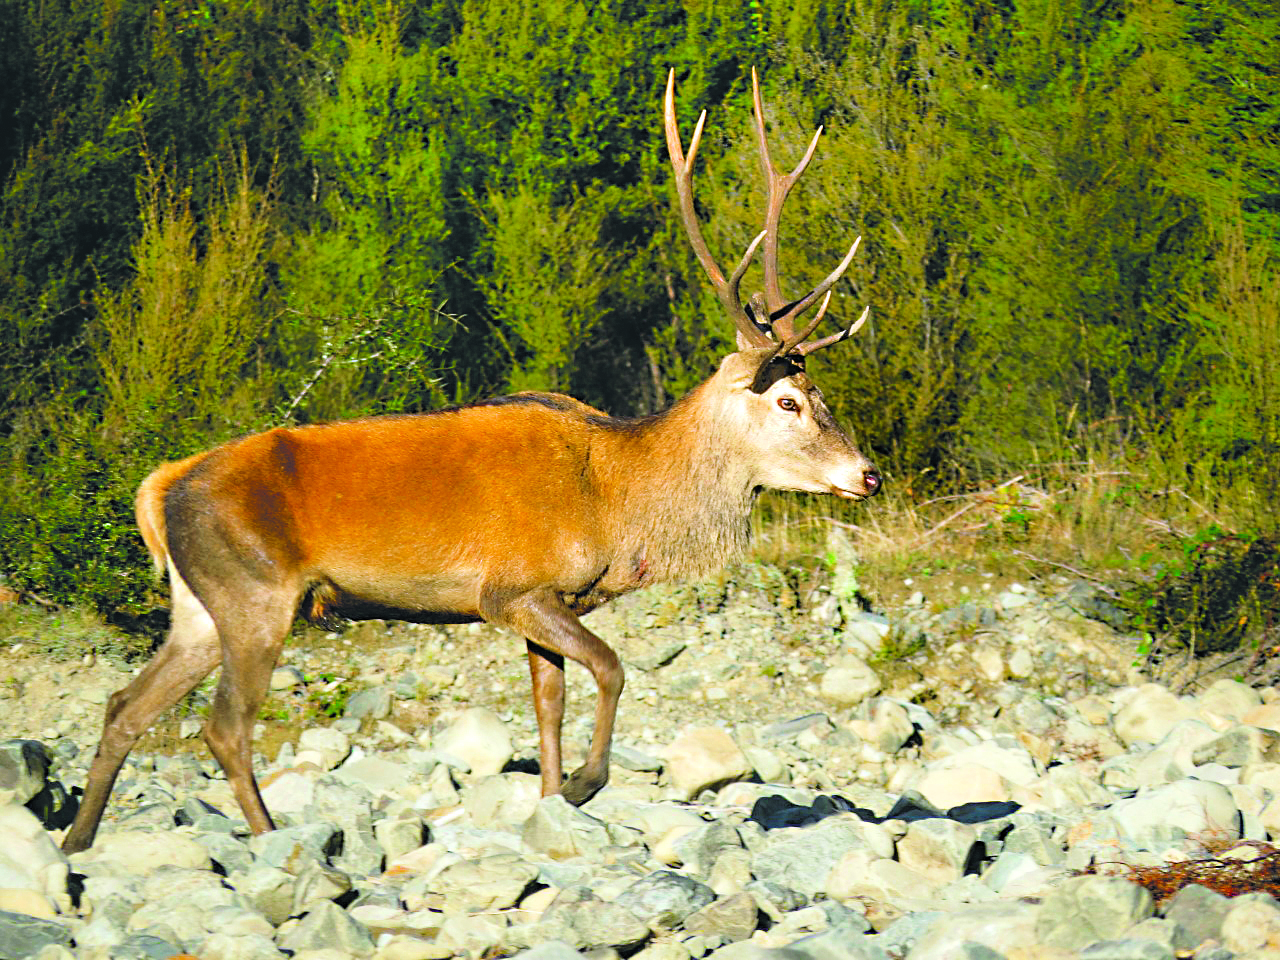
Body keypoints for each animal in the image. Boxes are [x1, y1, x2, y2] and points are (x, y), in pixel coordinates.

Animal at [60, 69, 880, 855]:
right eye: (789, 402)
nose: (867, 474)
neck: (615, 500)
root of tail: (160, 488)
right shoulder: (512, 587)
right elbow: (611, 667)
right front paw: (583, 785)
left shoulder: (550, 598)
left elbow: (548, 705)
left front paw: (552, 802)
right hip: (254, 590)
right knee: (224, 725)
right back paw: (268, 840)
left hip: (199, 606)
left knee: (123, 705)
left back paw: (77, 839)